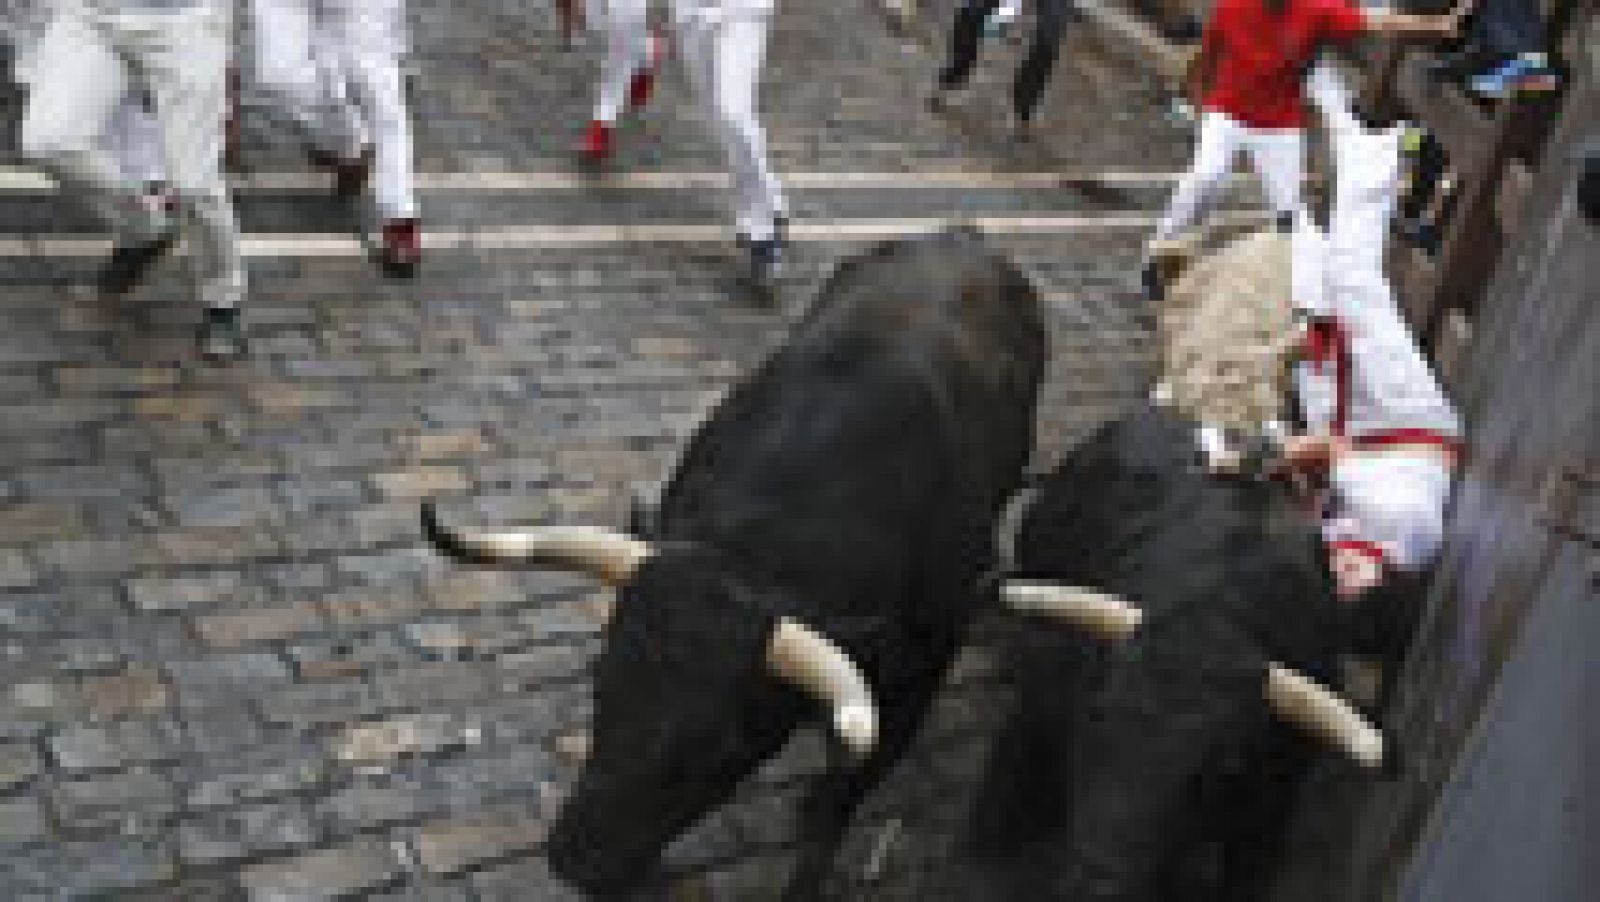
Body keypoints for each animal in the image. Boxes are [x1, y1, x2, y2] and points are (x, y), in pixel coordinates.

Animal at [425, 228, 1049, 895]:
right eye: (602, 680)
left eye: (720, 748)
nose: (575, 862)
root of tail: (964, 235)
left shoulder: (920, 672)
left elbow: (830, 807)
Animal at [940, 409, 1395, 902]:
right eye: (1097, 715)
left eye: (1222, 768)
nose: (1099, 884)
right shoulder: (1037, 709)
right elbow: (993, 818)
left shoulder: (1269, 812)